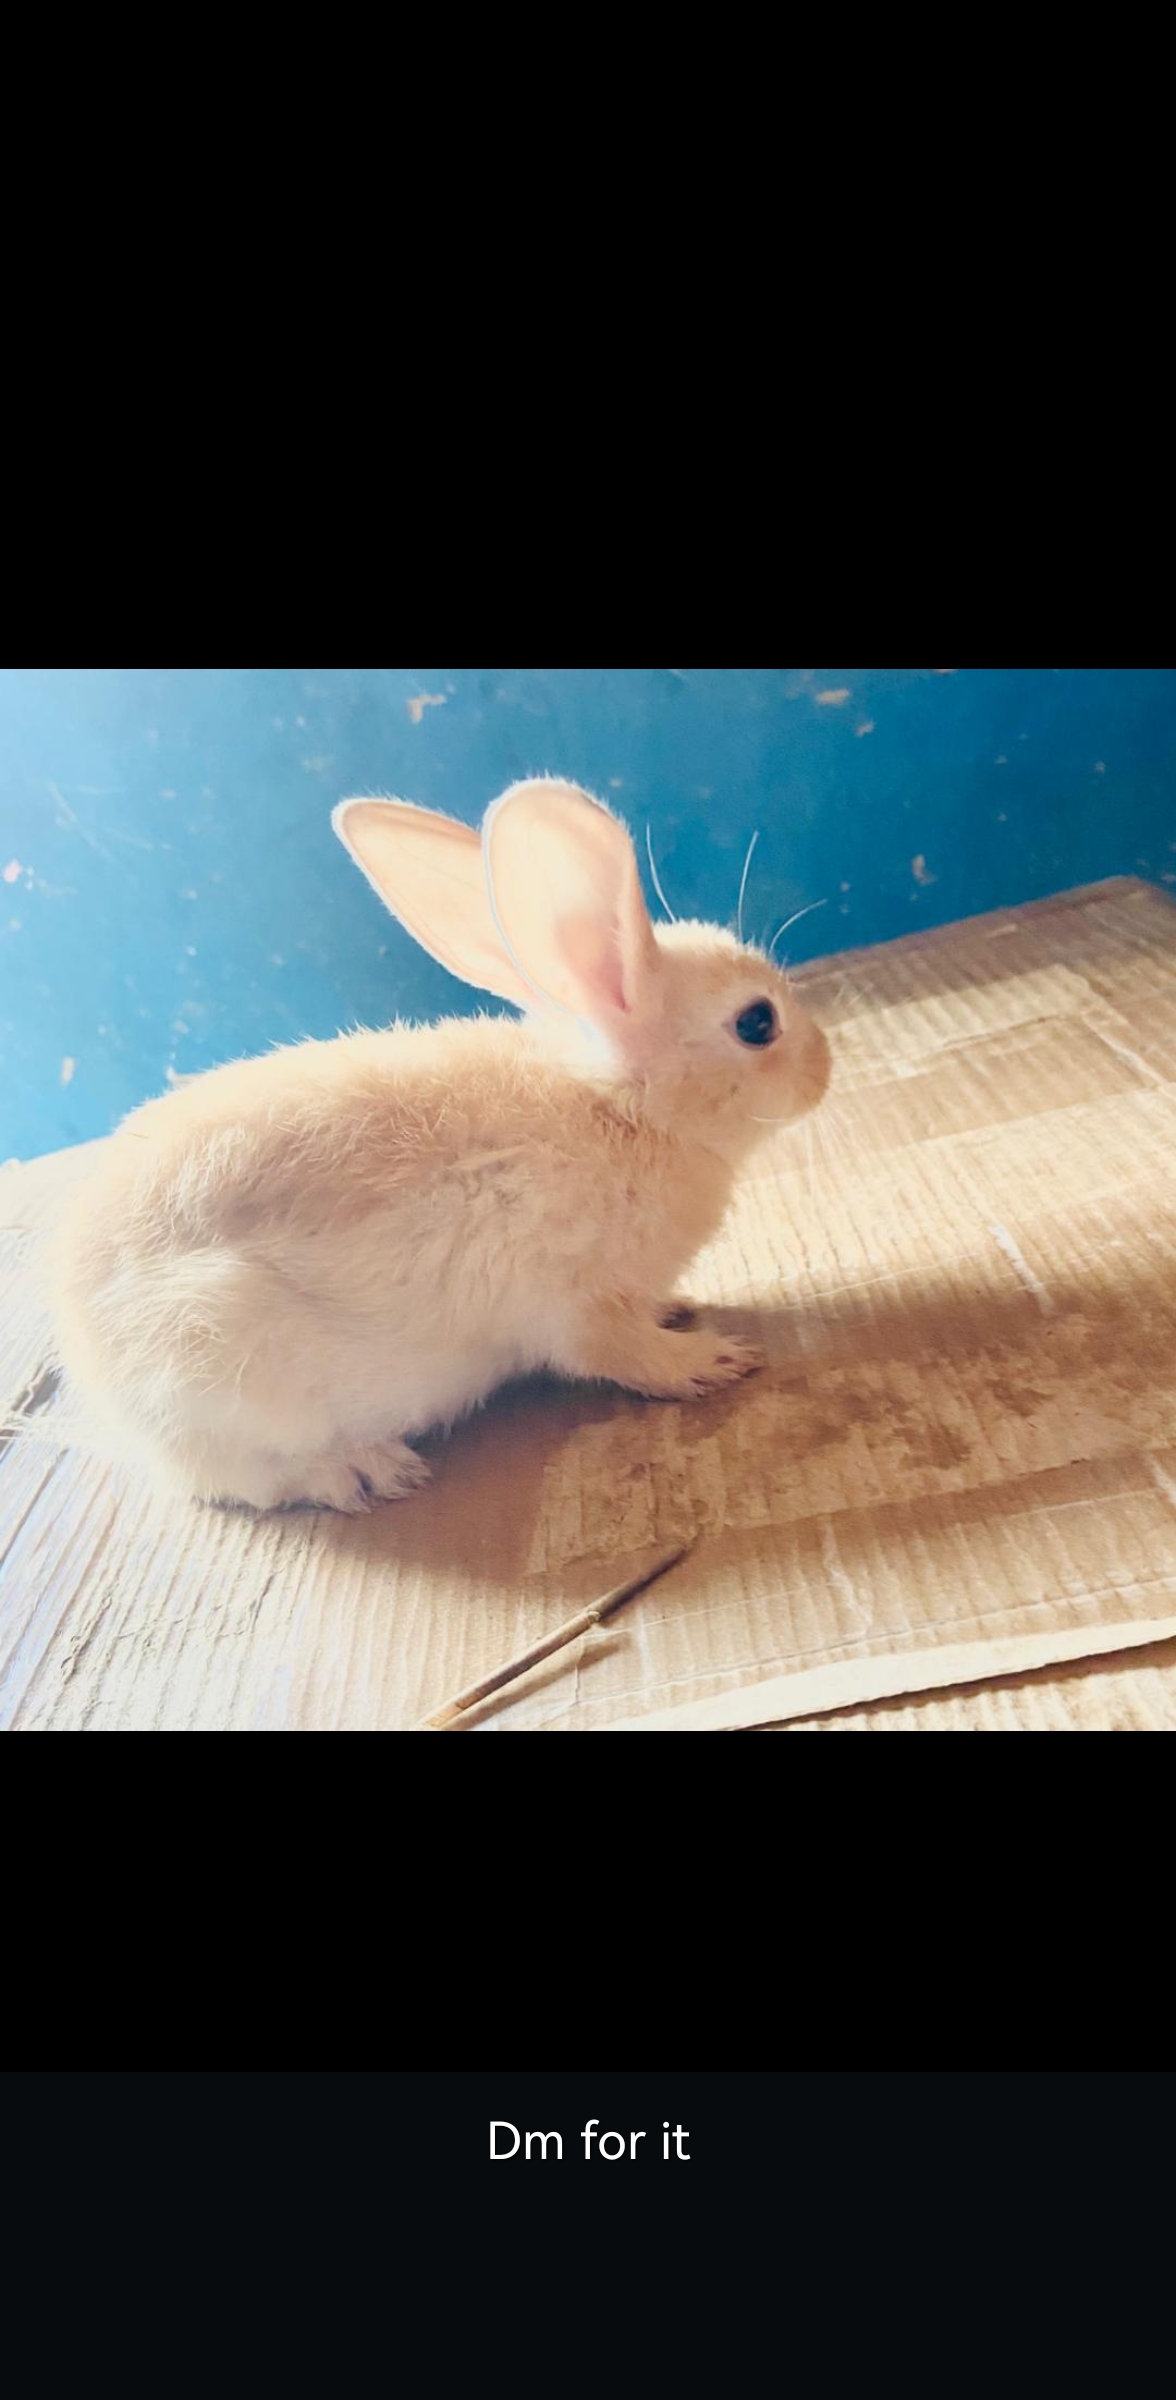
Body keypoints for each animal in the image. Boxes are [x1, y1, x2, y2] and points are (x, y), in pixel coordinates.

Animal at [50, 778, 831, 1512]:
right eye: (757, 1023)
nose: (825, 1069)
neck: (620, 1109)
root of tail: (97, 1383)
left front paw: (678, 1309)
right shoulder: (577, 1306)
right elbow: (623, 1355)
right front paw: (712, 1359)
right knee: (257, 1480)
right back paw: (369, 1471)